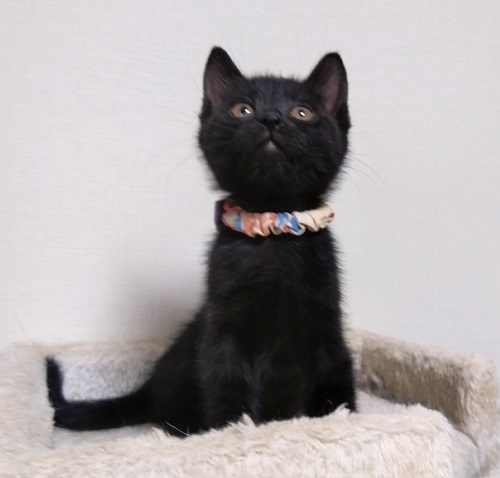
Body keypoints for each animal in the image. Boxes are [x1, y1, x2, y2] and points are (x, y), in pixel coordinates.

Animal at [46, 46, 356, 437]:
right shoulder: (223, 332)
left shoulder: (327, 329)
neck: (275, 231)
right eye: (243, 110)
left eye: (303, 113)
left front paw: (341, 421)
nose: (270, 119)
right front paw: (231, 433)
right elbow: (226, 386)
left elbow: (339, 387)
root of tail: (148, 389)